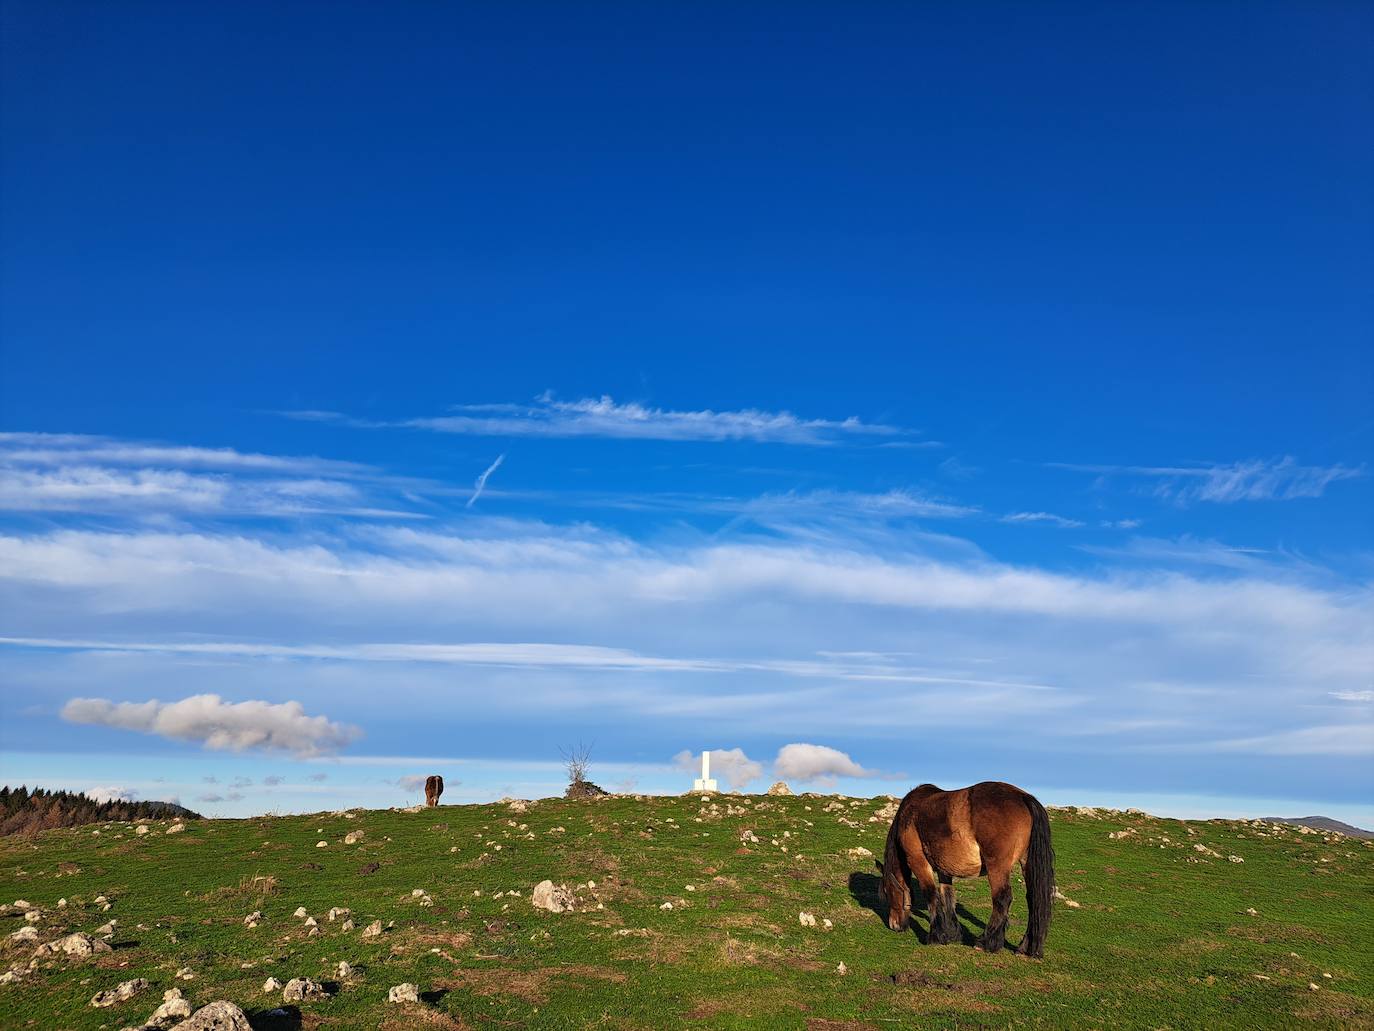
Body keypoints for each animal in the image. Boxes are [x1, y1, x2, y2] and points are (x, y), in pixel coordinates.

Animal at [879, 780, 1049, 962]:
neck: (910, 813)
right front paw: (952, 934)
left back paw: (986, 942)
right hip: (1026, 864)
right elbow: (947, 896)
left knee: (1002, 898)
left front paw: (935, 936)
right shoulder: (944, 869)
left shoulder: (918, 861)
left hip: (997, 866)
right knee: (1033, 900)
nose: (894, 925)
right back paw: (1025, 947)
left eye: (887, 892)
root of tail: (1024, 797)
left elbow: (931, 894)